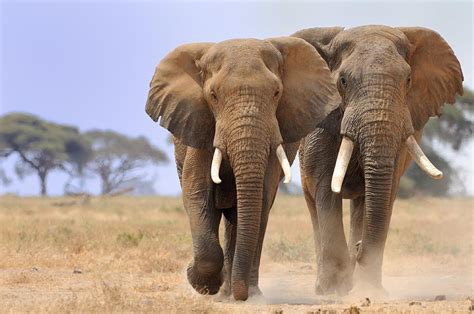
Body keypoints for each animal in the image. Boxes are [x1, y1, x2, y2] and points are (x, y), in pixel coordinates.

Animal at [144, 38, 336, 300]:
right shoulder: (201, 125)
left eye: (277, 93)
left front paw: (231, 290)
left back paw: (238, 291)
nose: (241, 294)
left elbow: (260, 199)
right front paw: (200, 282)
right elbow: (197, 194)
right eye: (213, 95)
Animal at [292, 25, 462, 296]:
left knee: (363, 203)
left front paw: (368, 290)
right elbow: (326, 187)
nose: (359, 249)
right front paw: (337, 291)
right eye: (342, 81)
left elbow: (386, 191)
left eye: (408, 80)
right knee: (314, 204)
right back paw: (324, 287)